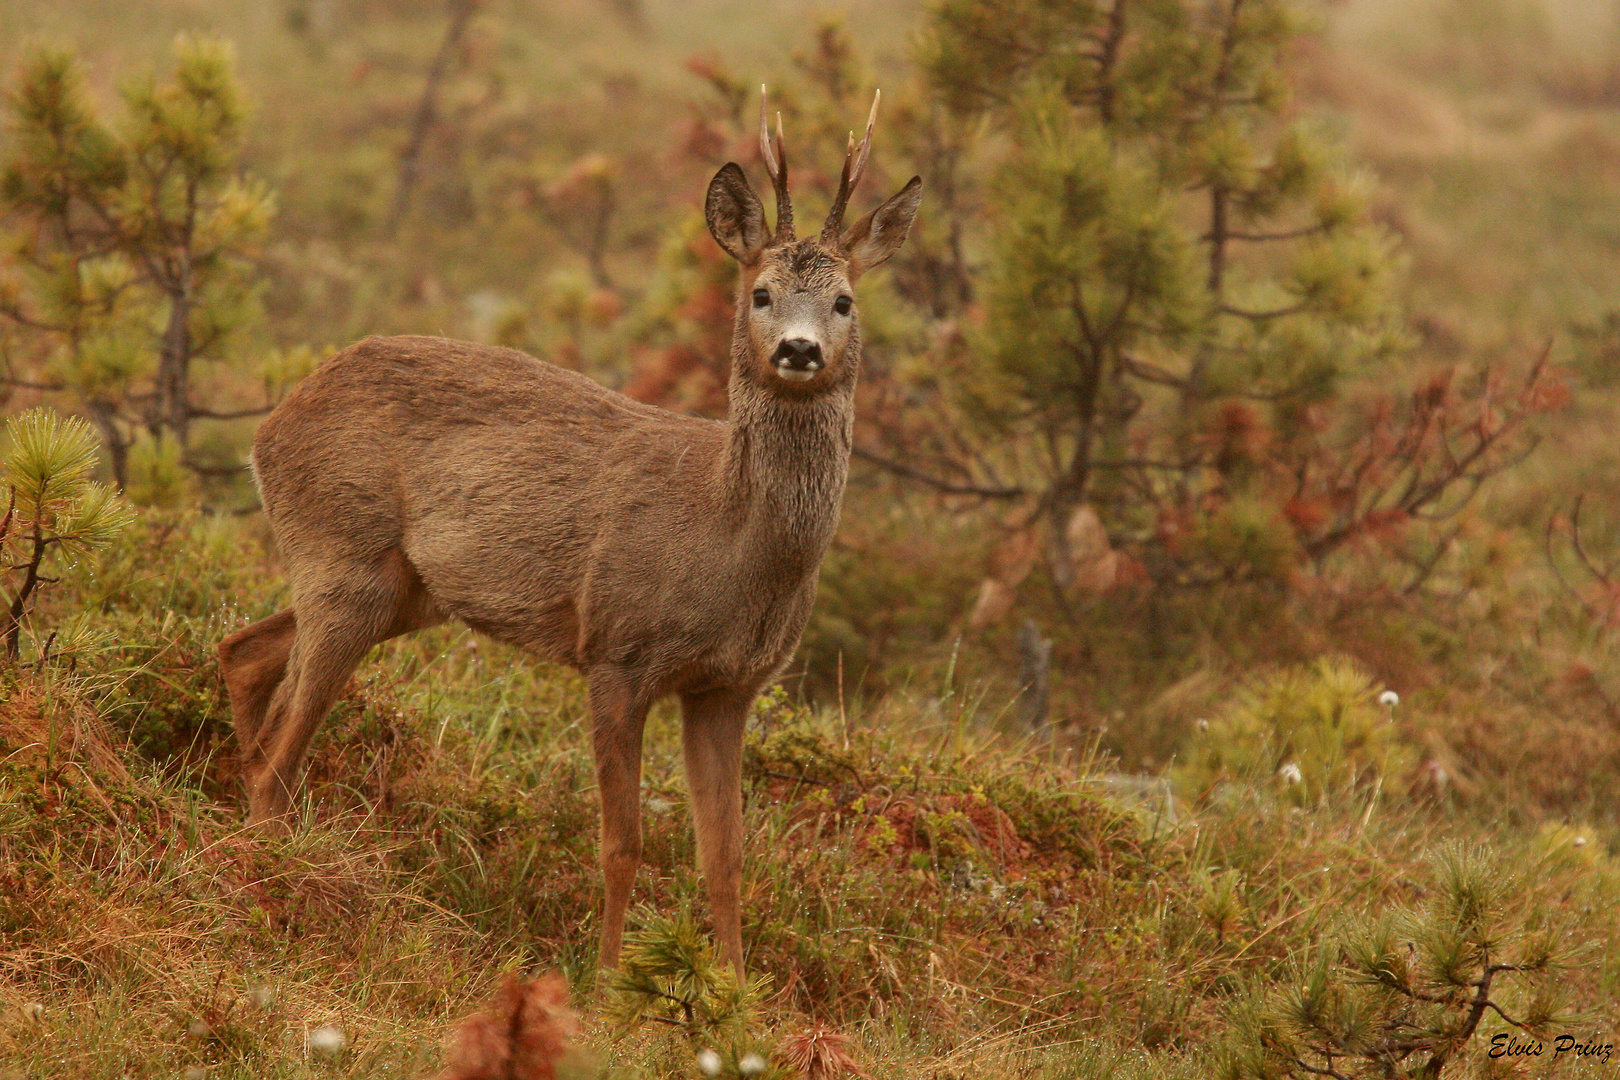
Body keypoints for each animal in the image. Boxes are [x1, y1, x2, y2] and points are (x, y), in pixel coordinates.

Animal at [220, 88, 920, 977]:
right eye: (760, 293)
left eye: (845, 302)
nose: (800, 350)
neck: (727, 539)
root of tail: (270, 426)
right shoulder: (617, 649)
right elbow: (622, 843)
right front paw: (608, 977)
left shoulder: (729, 685)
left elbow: (725, 853)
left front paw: (734, 989)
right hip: (341, 551)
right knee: (280, 746)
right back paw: (266, 881)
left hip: (400, 587)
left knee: (244, 654)